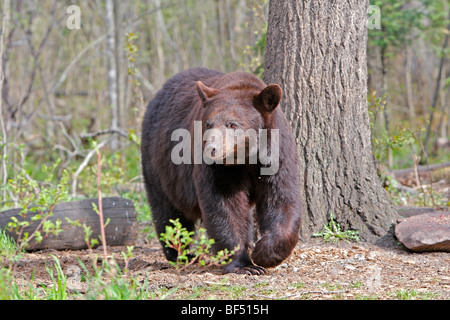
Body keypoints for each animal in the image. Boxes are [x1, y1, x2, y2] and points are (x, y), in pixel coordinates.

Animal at [142, 68, 302, 276]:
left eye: (233, 124)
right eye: (208, 124)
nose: (211, 148)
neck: (245, 158)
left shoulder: (276, 156)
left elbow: (281, 198)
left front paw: (263, 253)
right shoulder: (219, 171)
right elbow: (224, 205)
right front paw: (245, 264)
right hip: (160, 164)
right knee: (169, 213)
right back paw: (182, 254)